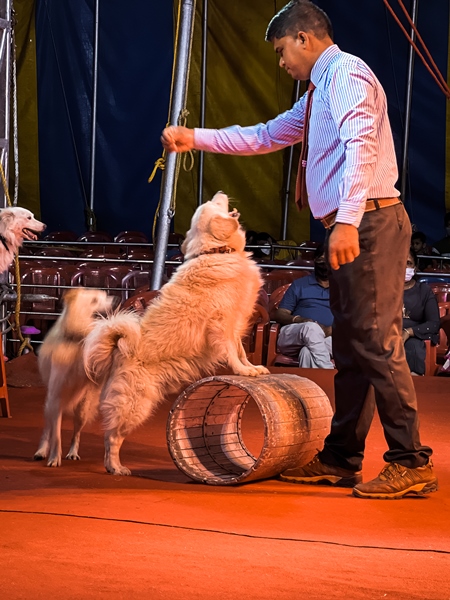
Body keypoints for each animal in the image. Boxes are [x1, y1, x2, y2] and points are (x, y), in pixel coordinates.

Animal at [82, 191, 268, 474]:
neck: (215, 252)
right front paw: (242, 371)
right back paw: (116, 467)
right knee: (112, 436)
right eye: (214, 204)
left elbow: (242, 352)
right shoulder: (222, 325)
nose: (220, 193)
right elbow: (232, 354)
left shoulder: (235, 325)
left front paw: (252, 369)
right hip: (136, 405)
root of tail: (122, 349)